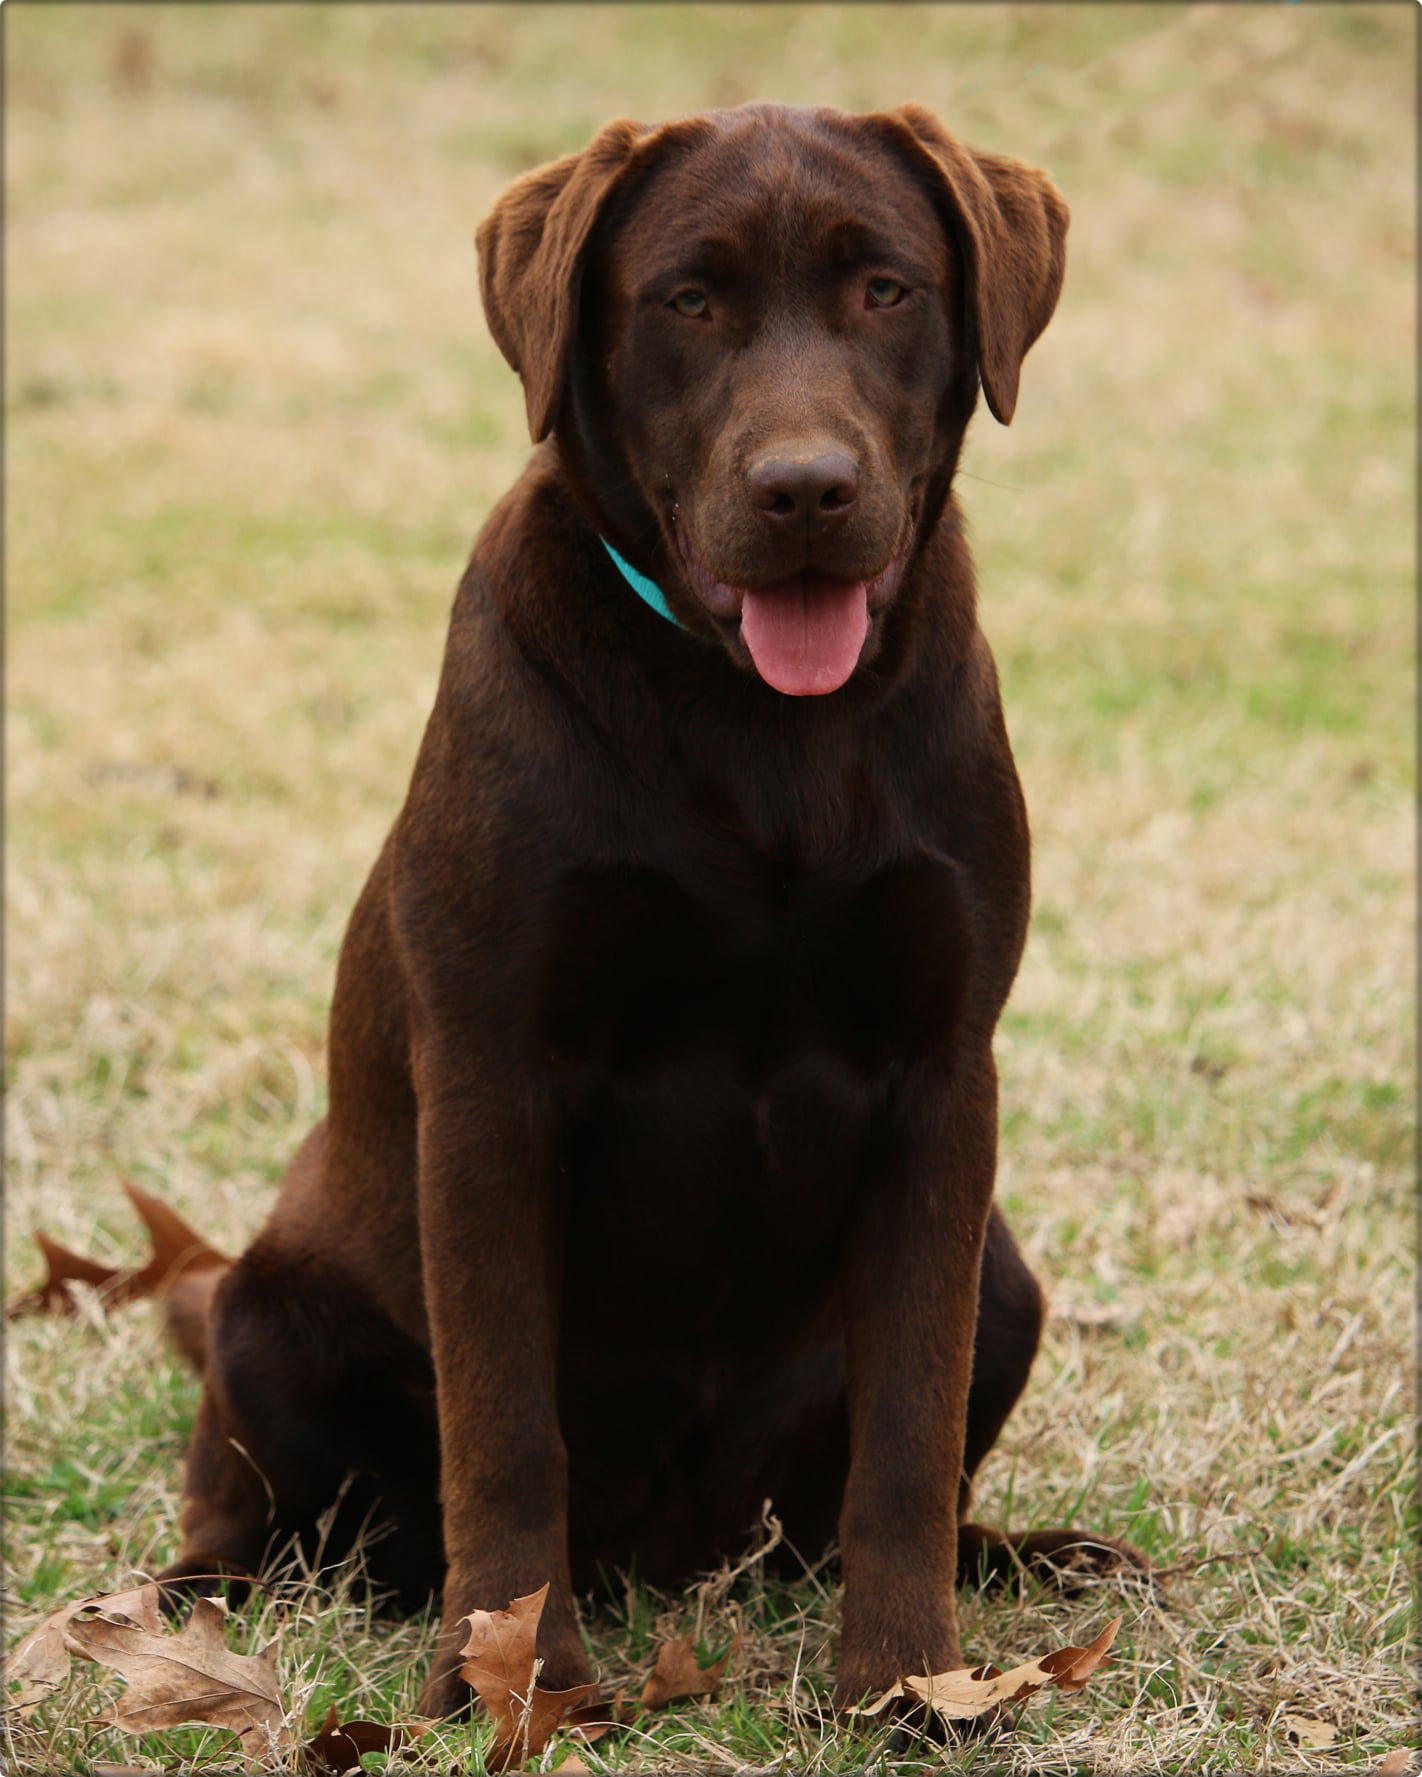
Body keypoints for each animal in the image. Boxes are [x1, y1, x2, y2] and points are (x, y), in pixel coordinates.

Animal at [158, 103, 1144, 1713]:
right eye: (687, 300)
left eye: (886, 288)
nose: (804, 489)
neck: (760, 729)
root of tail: (670, 1555)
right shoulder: (495, 1085)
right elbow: (504, 1429)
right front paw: (512, 1687)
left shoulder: (944, 1082)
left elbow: (908, 1434)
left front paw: (907, 1686)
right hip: (268, 1317)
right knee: (279, 1512)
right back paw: (214, 1596)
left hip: (1006, 1281)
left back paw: (1029, 1558)